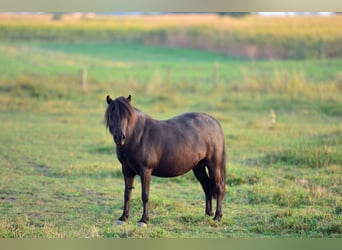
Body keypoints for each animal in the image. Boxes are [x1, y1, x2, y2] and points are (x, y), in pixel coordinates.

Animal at [104, 94, 227, 227]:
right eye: (111, 115)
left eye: (127, 116)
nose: (120, 137)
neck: (137, 136)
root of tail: (214, 122)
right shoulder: (126, 170)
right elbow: (127, 194)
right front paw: (123, 218)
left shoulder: (145, 171)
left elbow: (145, 195)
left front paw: (143, 220)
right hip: (198, 167)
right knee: (207, 186)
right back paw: (208, 213)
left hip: (214, 165)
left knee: (219, 187)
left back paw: (217, 216)